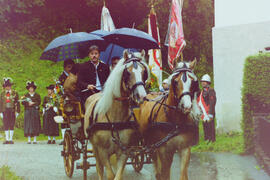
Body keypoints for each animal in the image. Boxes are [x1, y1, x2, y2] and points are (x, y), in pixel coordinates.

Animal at [83, 49, 149, 180]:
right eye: (127, 73)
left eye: (144, 72)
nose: (142, 96)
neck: (115, 119)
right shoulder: (102, 151)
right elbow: (109, 175)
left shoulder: (124, 151)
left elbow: (117, 175)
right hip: (95, 148)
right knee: (99, 168)